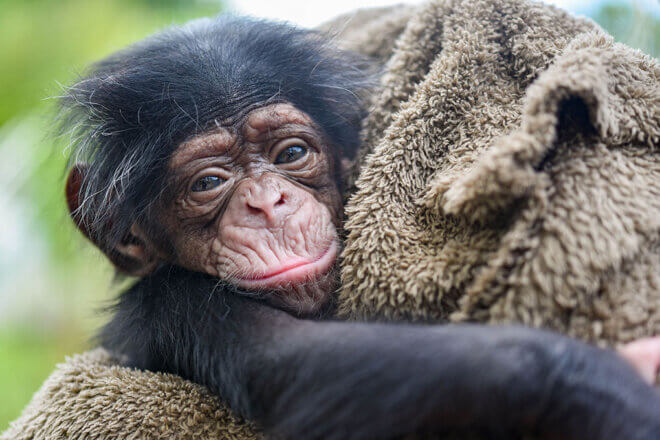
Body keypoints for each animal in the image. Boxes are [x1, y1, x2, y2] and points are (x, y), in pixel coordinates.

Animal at [62, 15, 660, 438]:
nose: (269, 203)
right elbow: (296, 362)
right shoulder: (174, 305)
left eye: (291, 153)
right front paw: (610, 391)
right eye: (208, 183)